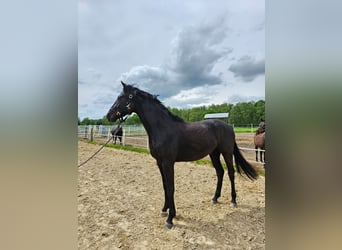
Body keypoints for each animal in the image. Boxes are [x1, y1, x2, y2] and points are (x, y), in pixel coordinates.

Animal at [105, 81, 258, 229]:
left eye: (121, 97)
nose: (109, 115)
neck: (162, 128)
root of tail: (228, 127)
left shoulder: (168, 163)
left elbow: (171, 187)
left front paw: (170, 219)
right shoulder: (159, 162)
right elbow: (165, 186)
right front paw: (164, 209)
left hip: (226, 152)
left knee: (231, 173)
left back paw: (233, 201)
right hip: (213, 153)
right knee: (220, 172)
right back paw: (215, 198)